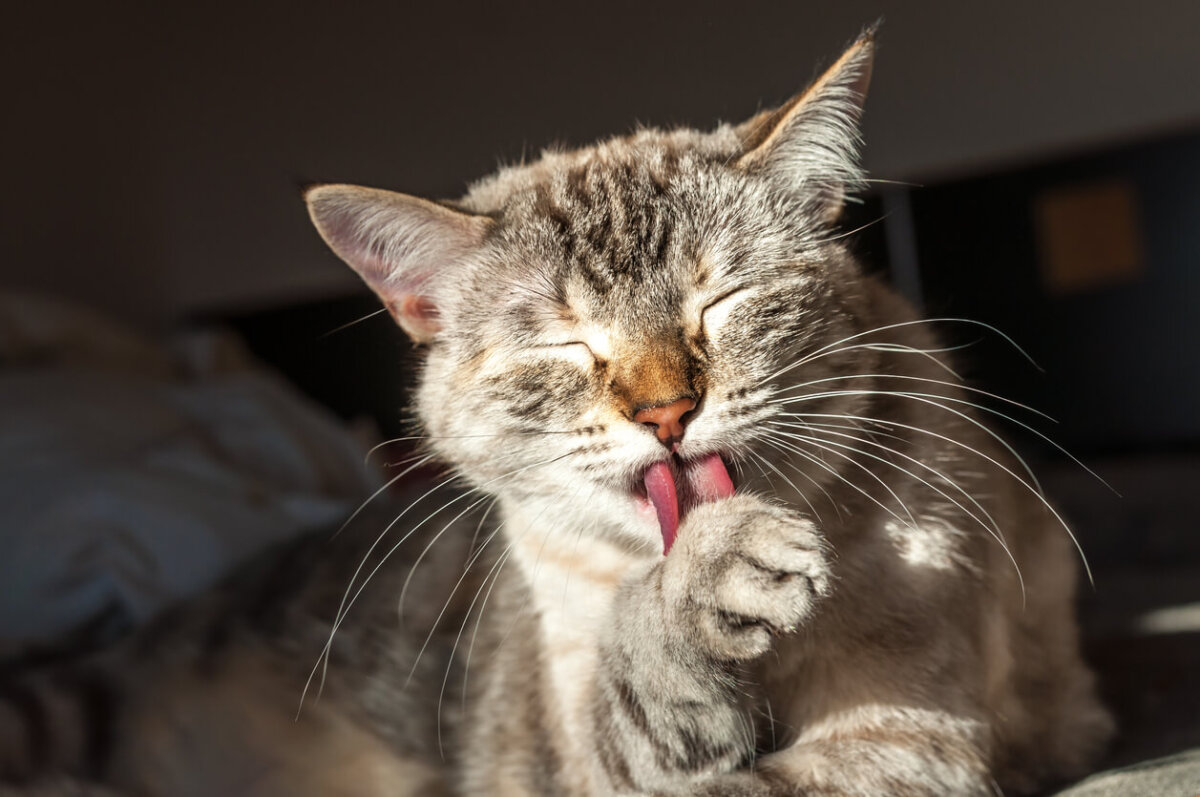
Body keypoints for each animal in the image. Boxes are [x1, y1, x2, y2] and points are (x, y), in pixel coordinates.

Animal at [0, 29, 1108, 797]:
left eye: (721, 302)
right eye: (566, 347)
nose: (667, 411)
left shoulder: (905, 744)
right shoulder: (563, 759)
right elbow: (643, 685)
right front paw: (703, 579)